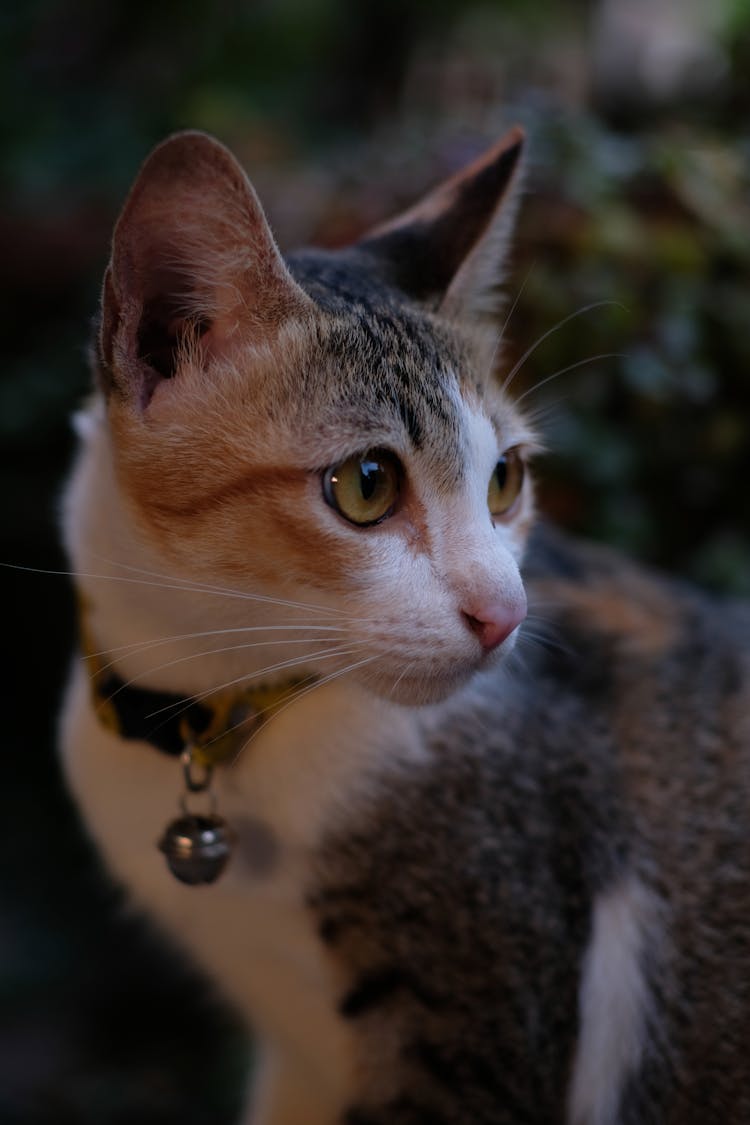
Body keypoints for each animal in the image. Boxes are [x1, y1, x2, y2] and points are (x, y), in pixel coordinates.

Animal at [61, 131, 750, 1125]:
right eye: (366, 483)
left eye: (505, 479)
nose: (505, 613)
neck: (222, 706)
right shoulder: (297, 1064)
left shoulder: (470, 1024)